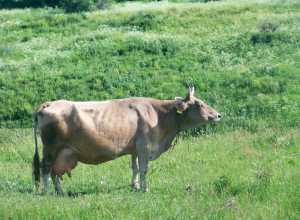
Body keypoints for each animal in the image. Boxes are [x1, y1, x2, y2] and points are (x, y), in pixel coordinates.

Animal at [32, 84, 221, 194]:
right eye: (200, 104)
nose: (218, 115)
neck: (158, 114)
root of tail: (48, 103)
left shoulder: (135, 149)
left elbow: (135, 168)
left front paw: (135, 186)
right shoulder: (145, 146)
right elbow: (144, 169)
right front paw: (145, 188)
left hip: (59, 151)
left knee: (54, 171)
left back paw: (61, 191)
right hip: (51, 148)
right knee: (45, 168)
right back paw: (48, 192)